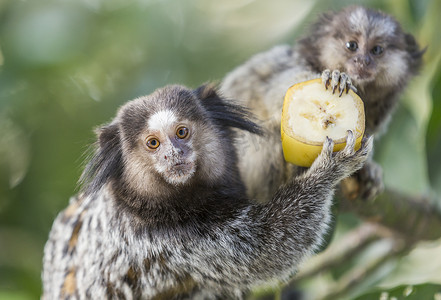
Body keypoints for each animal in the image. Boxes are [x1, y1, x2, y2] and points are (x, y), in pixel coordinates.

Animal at [42, 84, 372, 298]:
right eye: (153, 143)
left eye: (182, 132)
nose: (174, 154)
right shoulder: (164, 238)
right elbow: (267, 247)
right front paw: (328, 170)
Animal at [222, 5, 424, 202]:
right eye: (352, 45)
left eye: (377, 50)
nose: (362, 61)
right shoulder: (292, 66)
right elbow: (281, 94)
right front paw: (337, 78)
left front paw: (369, 171)